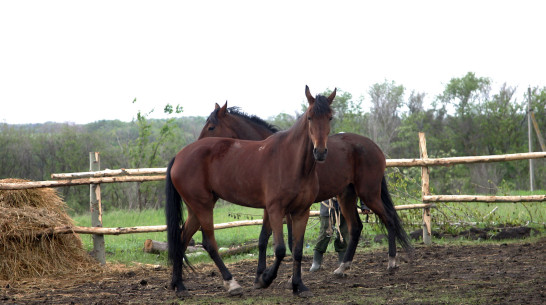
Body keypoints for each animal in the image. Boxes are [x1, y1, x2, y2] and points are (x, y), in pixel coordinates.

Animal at [166, 85, 334, 296]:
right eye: (310, 117)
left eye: (330, 117)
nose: (320, 152)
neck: (292, 161)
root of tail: (179, 155)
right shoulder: (275, 210)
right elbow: (279, 248)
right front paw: (264, 278)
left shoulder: (300, 212)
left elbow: (296, 249)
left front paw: (299, 285)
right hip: (202, 207)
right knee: (209, 244)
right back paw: (231, 283)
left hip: (196, 209)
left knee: (181, 240)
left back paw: (179, 285)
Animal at [198, 99, 410, 276]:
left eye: (211, 126)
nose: (198, 145)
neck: (268, 152)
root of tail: (374, 147)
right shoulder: (278, 208)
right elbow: (269, 239)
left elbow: (283, 241)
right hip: (346, 196)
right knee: (356, 227)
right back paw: (342, 267)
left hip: (369, 194)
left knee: (389, 219)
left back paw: (392, 262)